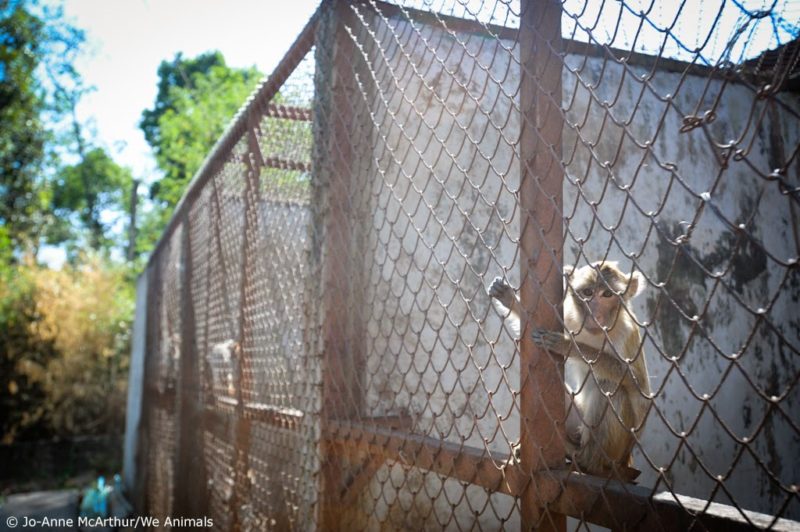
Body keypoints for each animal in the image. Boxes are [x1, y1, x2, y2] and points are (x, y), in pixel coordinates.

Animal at [488, 262, 648, 478]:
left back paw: (585, 459)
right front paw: (510, 299)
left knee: (612, 388)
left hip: (616, 451)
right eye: (587, 292)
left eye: (607, 294)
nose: (595, 315)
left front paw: (568, 344)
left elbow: (638, 386)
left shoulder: (627, 333)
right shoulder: (571, 319)